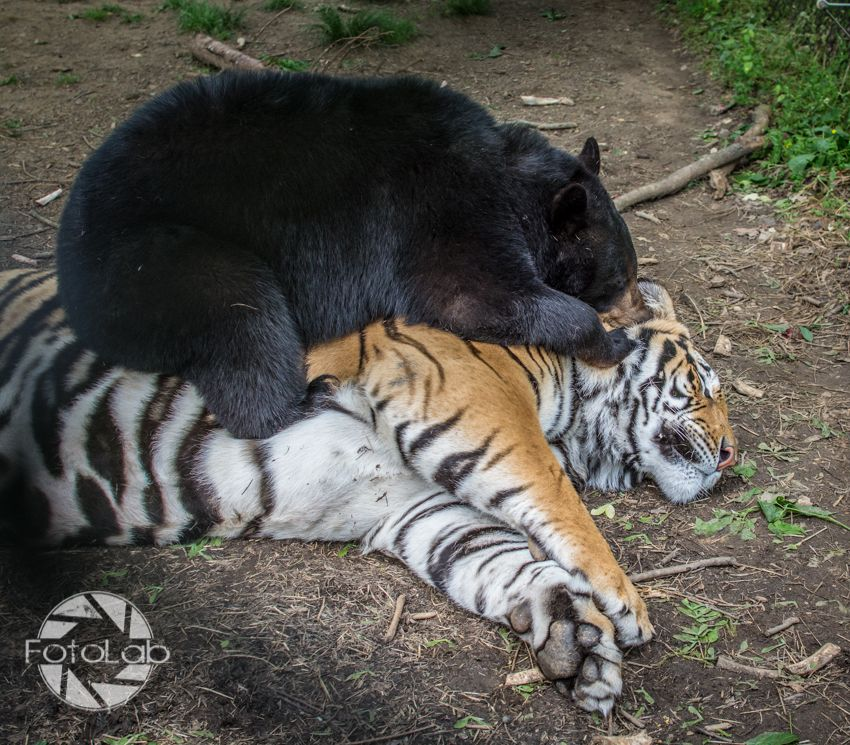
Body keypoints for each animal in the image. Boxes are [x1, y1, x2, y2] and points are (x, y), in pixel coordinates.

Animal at [56, 71, 648, 439]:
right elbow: (473, 295)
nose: (640, 307)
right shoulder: (445, 202)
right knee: (243, 319)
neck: (508, 176)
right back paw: (307, 399)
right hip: (164, 261)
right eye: (622, 275)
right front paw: (612, 341)